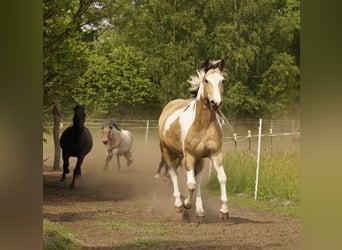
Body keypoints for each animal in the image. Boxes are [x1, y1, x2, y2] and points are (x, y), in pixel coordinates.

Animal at [158, 59, 228, 219]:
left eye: (222, 80)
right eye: (206, 80)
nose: (216, 103)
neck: (203, 124)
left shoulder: (215, 154)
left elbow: (221, 178)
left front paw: (224, 211)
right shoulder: (189, 156)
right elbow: (190, 184)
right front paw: (186, 204)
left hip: (198, 158)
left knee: (197, 178)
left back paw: (200, 209)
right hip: (167, 152)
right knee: (173, 173)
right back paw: (178, 204)